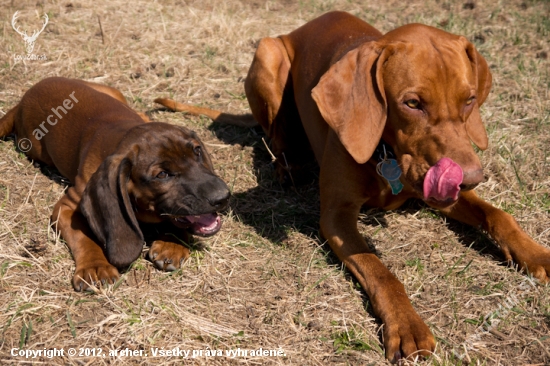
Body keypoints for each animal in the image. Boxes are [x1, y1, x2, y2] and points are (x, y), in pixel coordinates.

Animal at [0, 76, 231, 292]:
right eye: (162, 175)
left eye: (197, 151)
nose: (224, 197)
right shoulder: (66, 207)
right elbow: (83, 236)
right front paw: (95, 266)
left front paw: (171, 242)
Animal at [155, 10, 550, 360]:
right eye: (412, 103)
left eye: (469, 100)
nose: (470, 177)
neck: (387, 153)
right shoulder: (336, 216)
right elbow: (378, 268)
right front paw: (407, 324)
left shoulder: (443, 194)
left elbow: (499, 216)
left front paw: (537, 254)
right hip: (268, 55)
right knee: (274, 133)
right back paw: (288, 165)